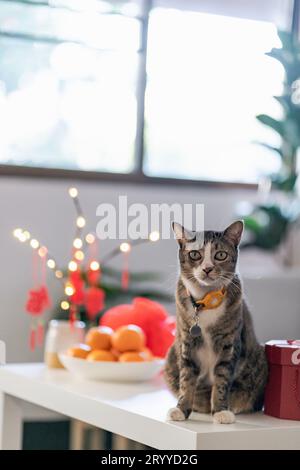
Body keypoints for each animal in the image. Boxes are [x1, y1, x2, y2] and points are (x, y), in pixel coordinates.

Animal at [165, 222, 268, 424]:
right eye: (194, 254)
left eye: (220, 255)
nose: (207, 268)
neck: (206, 301)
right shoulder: (186, 342)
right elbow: (186, 379)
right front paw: (181, 409)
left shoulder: (229, 344)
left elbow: (222, 379)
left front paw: (221, 411)